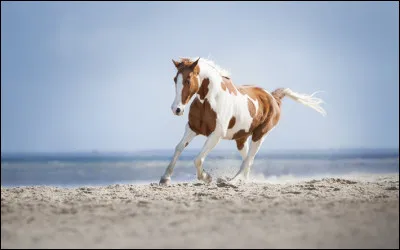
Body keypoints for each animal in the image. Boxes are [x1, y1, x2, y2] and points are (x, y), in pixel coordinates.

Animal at [159, 57, 324, 186]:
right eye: (175, 79)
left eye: (188, 80)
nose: (176, 109)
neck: (210, 99)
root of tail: (273, 97)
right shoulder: (192, 128)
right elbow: (179, 148)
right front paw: (165, 179)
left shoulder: (216, 134)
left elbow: (198, 159)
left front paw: (207, 177)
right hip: (241, 139)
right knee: (247, 159)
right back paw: (243, 180)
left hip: (259, 135)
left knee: (248, 160)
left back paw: (232, 181)